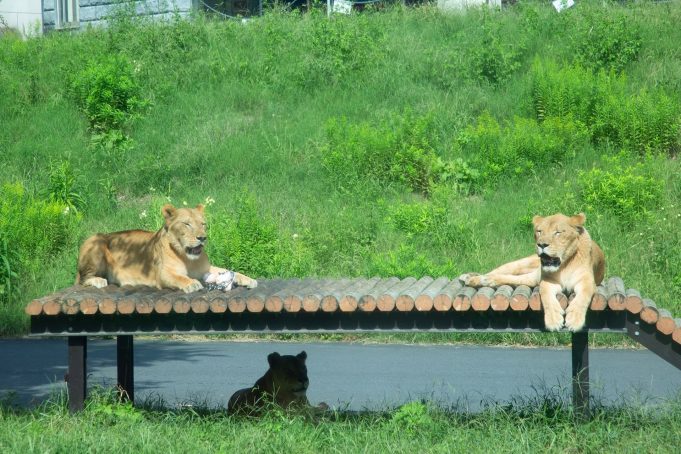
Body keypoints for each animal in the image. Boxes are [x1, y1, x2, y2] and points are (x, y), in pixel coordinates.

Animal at [76, 203, 257, 293]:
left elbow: (229, 271)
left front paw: (249, 280)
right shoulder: (162, 274)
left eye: (203, 224)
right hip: (95, 240)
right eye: (187, 224)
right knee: (82, 279)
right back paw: (98, 280)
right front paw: (192, 284)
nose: (202, 238)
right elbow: (180, 278)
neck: (188, 259)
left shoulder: (205, 270)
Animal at [459, 213, 605, 332]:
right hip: (521, 265)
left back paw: (478, 279)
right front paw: (553, 321)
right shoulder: (548, 281)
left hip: (530, 278)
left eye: (557, 232)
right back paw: (470, 277)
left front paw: (574, 320)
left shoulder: (587, 281)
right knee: (497, 271)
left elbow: (582, 297)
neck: (564, 265)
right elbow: (547, 297)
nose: (542, 244)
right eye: (539, 231)